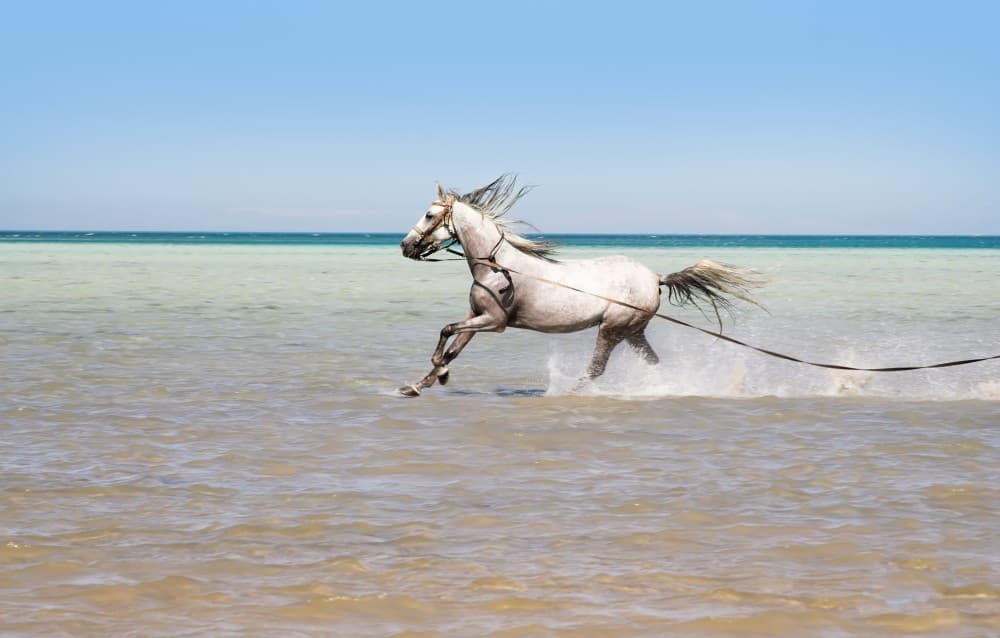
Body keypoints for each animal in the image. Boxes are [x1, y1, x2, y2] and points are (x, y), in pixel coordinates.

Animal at [398, 175, 764, 396]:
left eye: (429, 215)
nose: (405, 246)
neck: (498, 268)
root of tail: (655, 278)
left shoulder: (495, 322)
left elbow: (446, 332)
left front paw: (440, 374)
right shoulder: (476, 316)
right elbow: (454, 347)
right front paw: (420, 384)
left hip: (612, 328)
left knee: (597, 369)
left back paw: (569, 392)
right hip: (633, 332)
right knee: (653, 363)